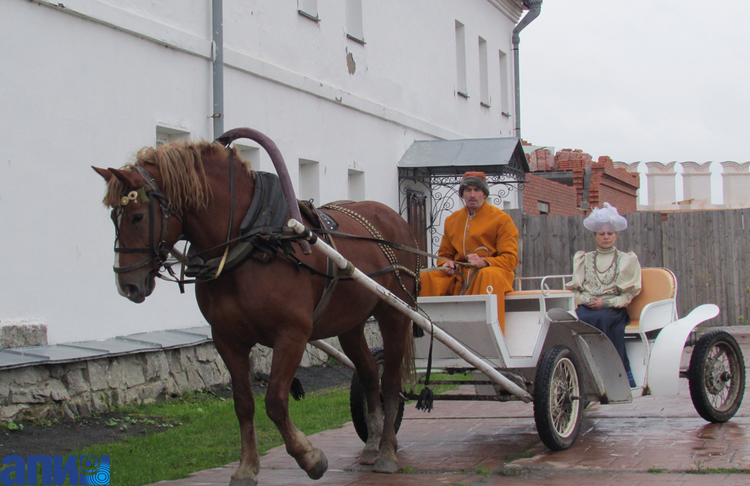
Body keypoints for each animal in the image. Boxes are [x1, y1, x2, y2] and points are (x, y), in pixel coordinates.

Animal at [92, 127, 420, 484]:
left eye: (137, 216)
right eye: (113, 217)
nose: (127, 285)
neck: (254, 239)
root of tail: (397, 221)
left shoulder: (292, 334)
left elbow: (275, 400)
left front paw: (309, 457)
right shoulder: (227, 338)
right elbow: (243, 403)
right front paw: (247, 466)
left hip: (395, 313)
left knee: (391, 382)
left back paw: (386, 451)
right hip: (350, 323)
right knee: (370, 375)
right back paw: (373, 443)